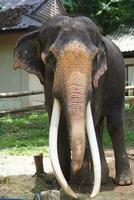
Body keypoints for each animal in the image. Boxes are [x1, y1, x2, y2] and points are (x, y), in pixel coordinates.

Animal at [13, 16, 132, 198]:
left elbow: (90, 118)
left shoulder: (98, 80)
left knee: (114, 125)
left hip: (119, 87)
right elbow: (58, 126)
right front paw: (62, 183)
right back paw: (99, 178)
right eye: (50, 58)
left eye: (95, 58)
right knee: (98, 127)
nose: (76, 192)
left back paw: (121, 181)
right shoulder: (47, 85)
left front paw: (83, 183)